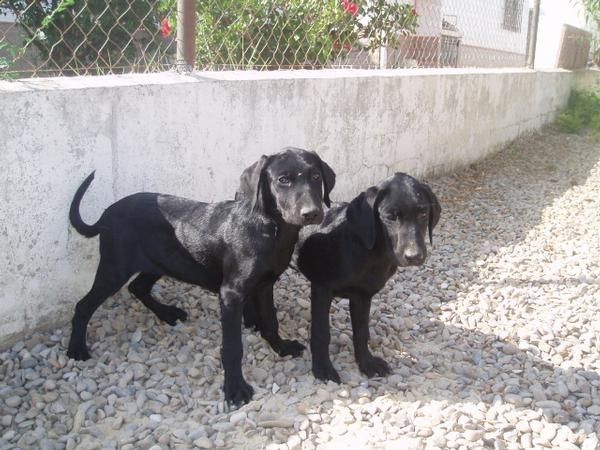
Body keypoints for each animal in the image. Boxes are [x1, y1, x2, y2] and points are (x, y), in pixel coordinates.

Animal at [69, 148, 338, 404]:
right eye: (283, 180)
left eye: (316, 176)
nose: (312, 213)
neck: (272, 229)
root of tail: (106, 214)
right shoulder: (231, 294)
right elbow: (232, 347)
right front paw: (235, 389)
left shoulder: (265, 284)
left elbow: (271, 321)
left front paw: (280, 347)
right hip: (115, 268)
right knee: (84, 305)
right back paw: (76, 349)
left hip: (161, 263)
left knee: (138, 287)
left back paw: (167, 313)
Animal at [244, 172, 440, 384]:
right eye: (390, 217)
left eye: (423, 214)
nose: (415, 256)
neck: (370, 252)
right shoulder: (322, 289)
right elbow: (321, 333)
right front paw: (322, 368)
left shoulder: (363, 296)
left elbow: (361, 333)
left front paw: (366, 363)